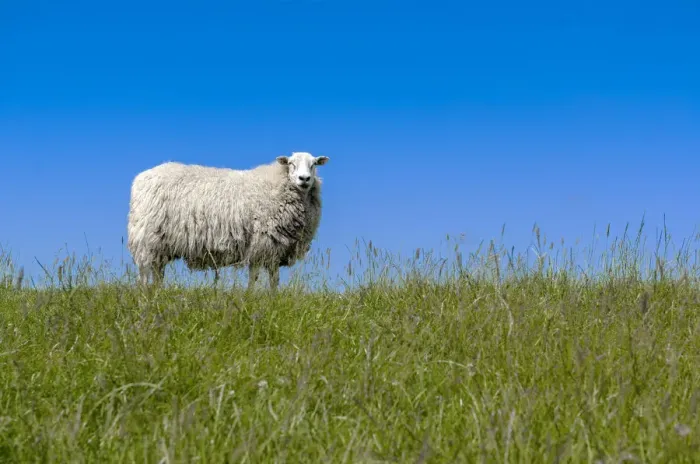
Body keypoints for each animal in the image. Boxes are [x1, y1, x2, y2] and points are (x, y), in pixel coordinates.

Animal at [127, 152, 329, 290]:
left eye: (314, 164)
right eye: (291, 164)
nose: (304, 179)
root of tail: (140, 178)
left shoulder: (274, 248)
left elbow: (273, 278)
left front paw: (272, 297)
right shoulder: (263, 243)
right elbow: (257, 276)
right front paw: (253, 296)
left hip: (160, 244)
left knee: (157, 272)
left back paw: (157, 292)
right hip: (147, 239)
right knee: (144, 272)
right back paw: (145, 295)